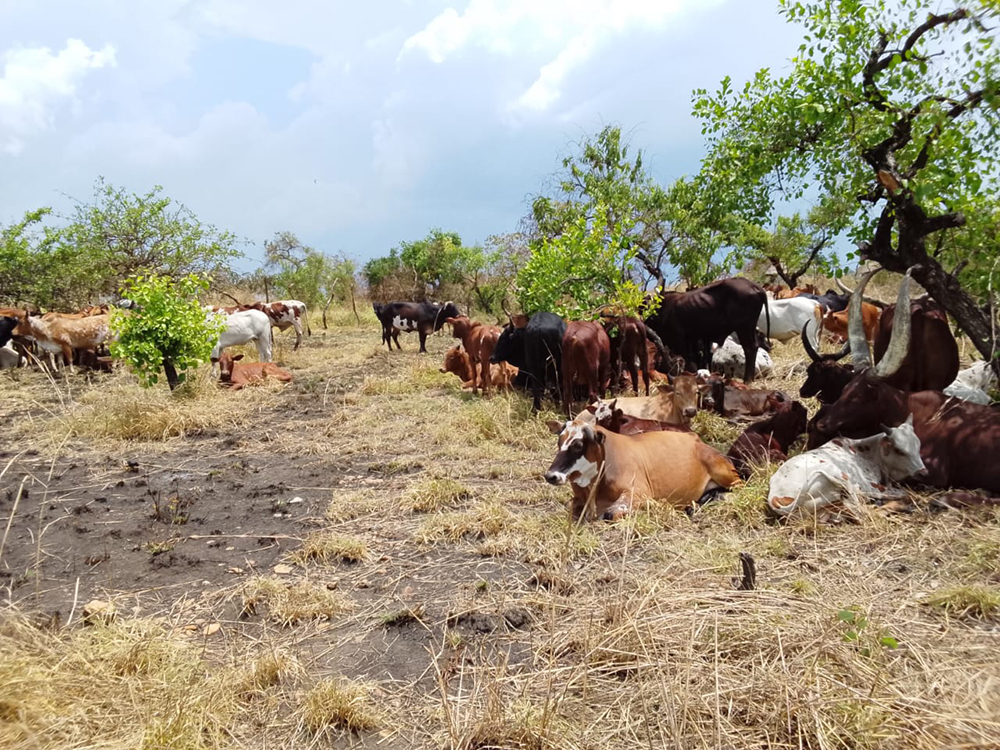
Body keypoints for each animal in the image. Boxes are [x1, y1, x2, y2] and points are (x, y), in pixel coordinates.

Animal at [544, 419, 741, 520]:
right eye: (559, 442)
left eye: (578, 445)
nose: (550, 476)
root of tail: (695, 438)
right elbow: (569, 505)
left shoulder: (638, 493)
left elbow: (610, 513)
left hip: (726, 474)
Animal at [768, 416, 924, 521]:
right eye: (899, 450)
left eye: (918, 445)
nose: (922, 471)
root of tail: (774, 496)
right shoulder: (870, 486)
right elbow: (906, 493)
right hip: (839, 476)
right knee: (862, 513)